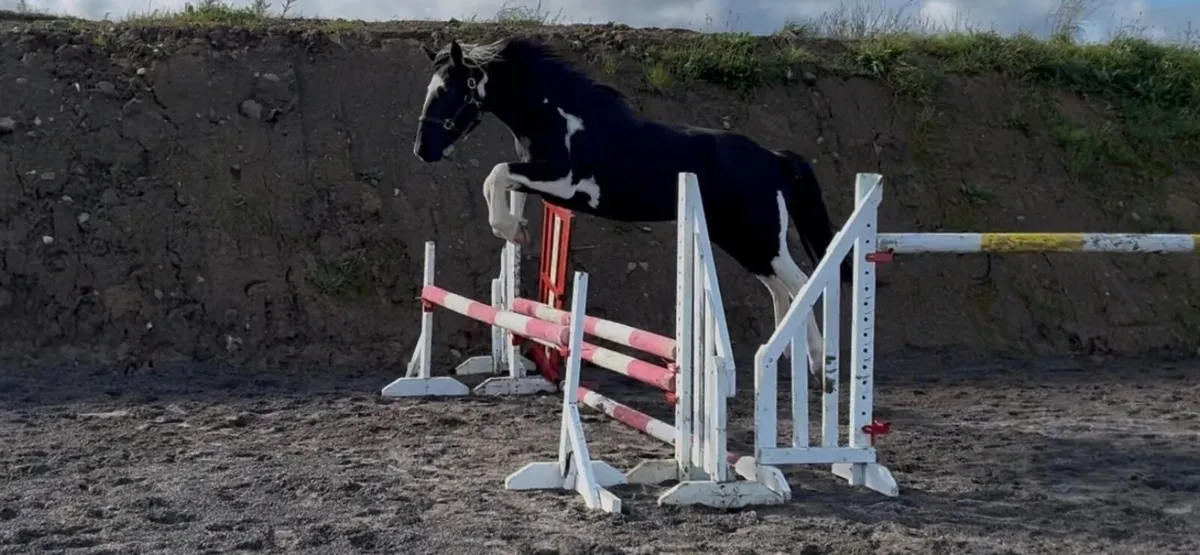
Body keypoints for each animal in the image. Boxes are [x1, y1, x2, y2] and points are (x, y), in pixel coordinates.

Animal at [411, 37, 851, 383]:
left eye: (446, 91)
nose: (422, 150)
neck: (560, 117)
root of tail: (773, 158)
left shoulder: (566, 183)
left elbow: (496, 174)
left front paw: (508, 227)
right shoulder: (538, 177)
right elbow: (503, 185)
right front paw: (515, 230)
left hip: (760, 239)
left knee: (801, 281)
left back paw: (818, 366)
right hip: (743, 242)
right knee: (780, 288)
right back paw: (785, 357)